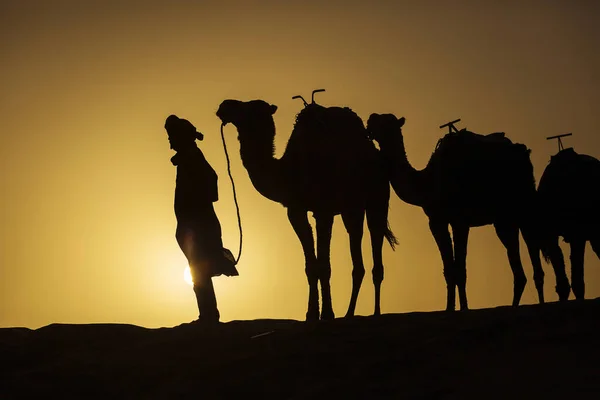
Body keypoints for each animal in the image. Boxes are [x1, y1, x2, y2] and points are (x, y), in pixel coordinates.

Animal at [217, 98, 398, 320]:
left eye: (250, 108)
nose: (225, 105)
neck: (289, 171)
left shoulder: (324, 210)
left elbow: (325, 265)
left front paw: (327, 314)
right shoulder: (295, 210)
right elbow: (311, 267)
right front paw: (311, 314)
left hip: (378, 198)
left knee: (376, 245)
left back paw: (376, 313)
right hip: (352, 209)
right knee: (358, 257)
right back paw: (349, 313)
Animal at [368, 114, 548, 310]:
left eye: (385, 121)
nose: (370, 120)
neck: (428, 181)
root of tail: (525, 153)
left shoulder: (460, 220)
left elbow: (460, 269)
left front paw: (464, 307)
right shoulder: (437, 221)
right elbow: (449, 269)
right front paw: (449, 308)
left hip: (524, 208)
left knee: (533, 253)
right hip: (504, 220)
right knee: (519, 269)